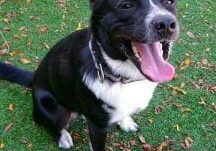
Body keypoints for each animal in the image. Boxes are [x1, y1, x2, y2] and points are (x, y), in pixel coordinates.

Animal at [0, 0, 179, 150]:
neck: (116, 74)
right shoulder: (98, 128)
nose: (166, 24)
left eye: (169, 2)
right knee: (54, 126)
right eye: (127, 6)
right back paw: (63, 137)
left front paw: (125, 122)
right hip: (52, 108)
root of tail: (34, 78)